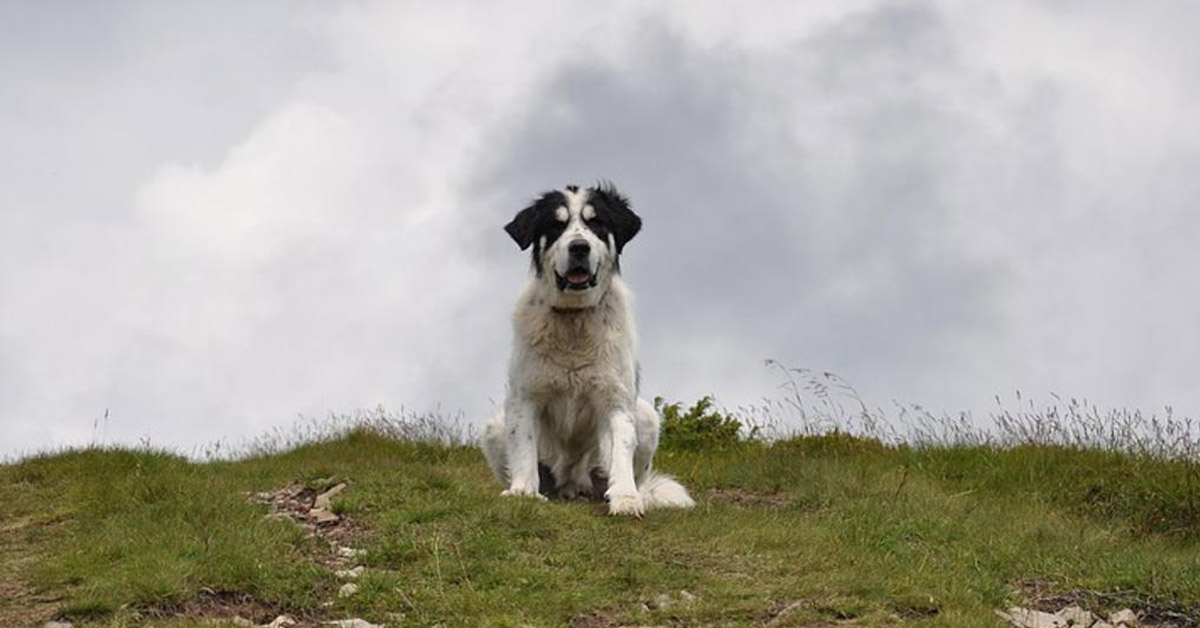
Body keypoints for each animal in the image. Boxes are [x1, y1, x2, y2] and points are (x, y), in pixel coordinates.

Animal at [480, 181, 696, 516]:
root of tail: (571, 484)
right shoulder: (525, 398)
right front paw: (523, 491)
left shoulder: (615, 400)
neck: (574, 319)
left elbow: (620, 449)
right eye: (556, 225)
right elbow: (524, 448)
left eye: (596, 223)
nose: (579, 247)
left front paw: (625, 498)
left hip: (646, 417)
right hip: (495, 424)